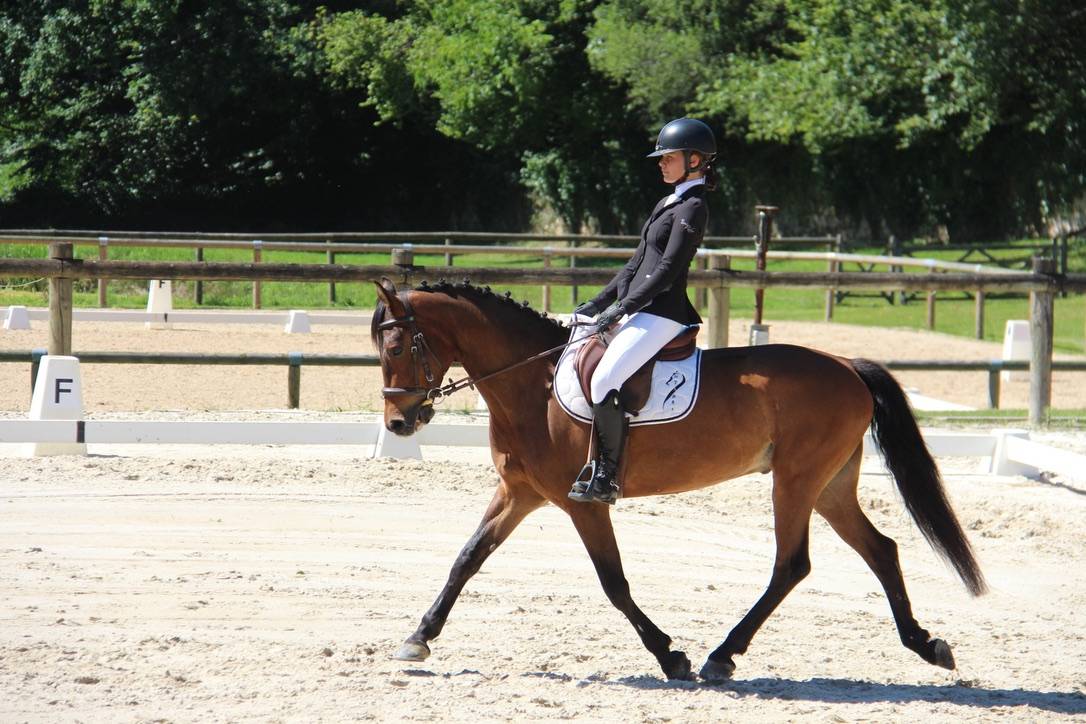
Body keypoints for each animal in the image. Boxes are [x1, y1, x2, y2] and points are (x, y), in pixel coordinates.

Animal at [371, 278, 986, 682]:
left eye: (396, 346)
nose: (398, 424)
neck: (532, 385)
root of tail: (846, 366)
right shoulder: (520, 494)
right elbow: (467, 558)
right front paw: (418, 638)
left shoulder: (583, 504)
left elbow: (614, 583)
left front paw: (671, 656)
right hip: (830, 485)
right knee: (880, 549)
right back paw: (925, 644)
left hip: (796, 481)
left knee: (792, 565)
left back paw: (721, 655)